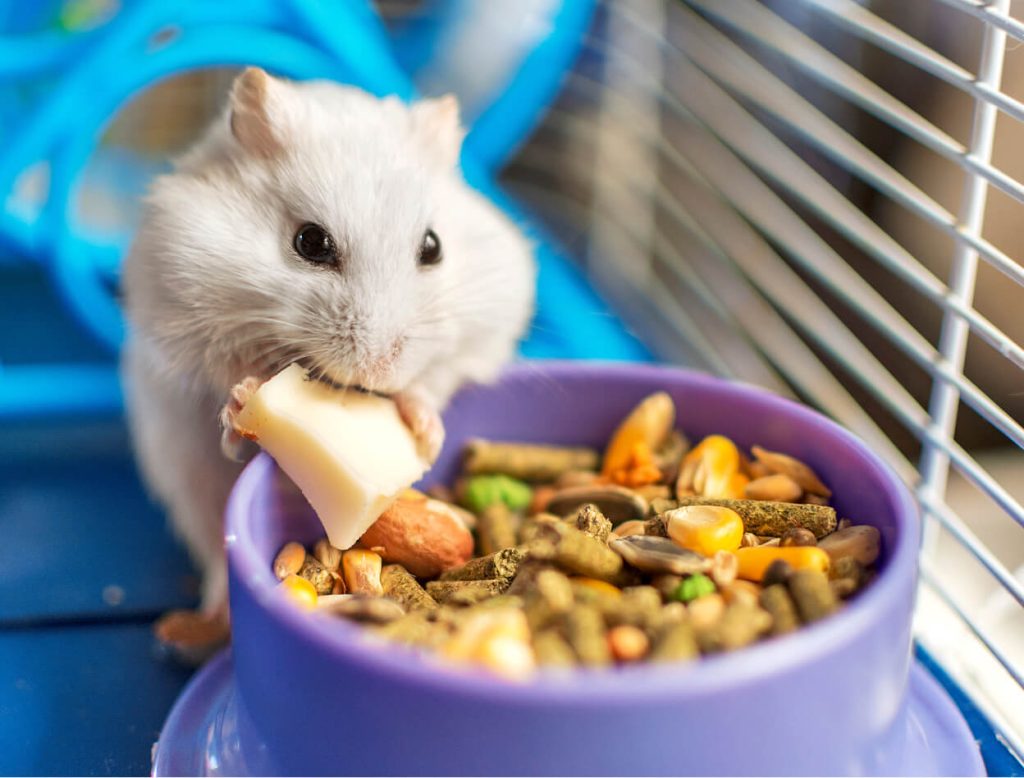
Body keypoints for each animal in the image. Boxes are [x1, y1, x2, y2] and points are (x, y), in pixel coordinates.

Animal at [120, 67, 536, 623]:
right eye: (310, 242)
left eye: (433, 247)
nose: (377, 371)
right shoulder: (179, 312)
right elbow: (227, 372)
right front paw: (244, 401)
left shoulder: (483, 330)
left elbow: (432, 382)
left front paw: (426, 434)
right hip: (185, 475)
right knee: (212, 547)